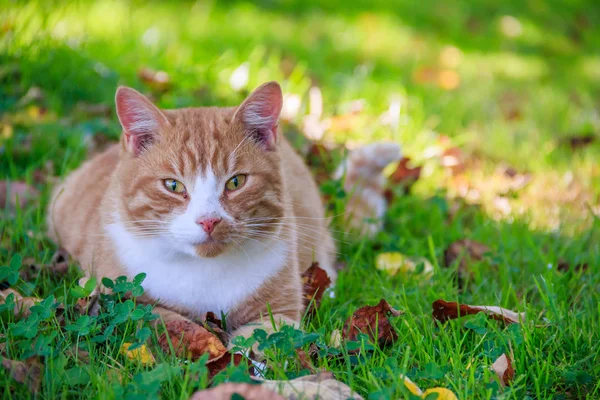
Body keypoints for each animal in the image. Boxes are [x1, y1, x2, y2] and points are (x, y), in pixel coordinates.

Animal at [49, 81, 400, 344]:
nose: (209, 220)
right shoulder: (122, 299)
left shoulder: (279, 312)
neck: (204, 273)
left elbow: (260, 341)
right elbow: (165, 323)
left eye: (236, 182)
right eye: (173, 185)